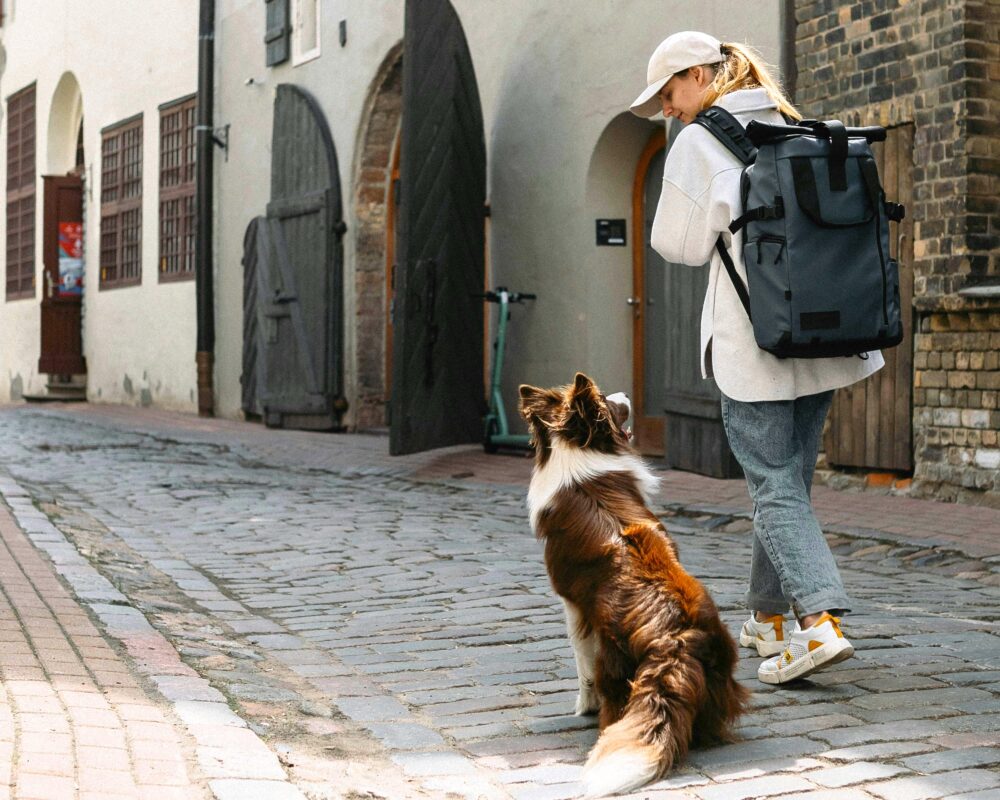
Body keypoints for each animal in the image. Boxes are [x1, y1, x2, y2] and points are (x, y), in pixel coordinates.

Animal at [520, 374, 748, 792]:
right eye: (608, 400)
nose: (626, 392)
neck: (577, 453)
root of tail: (675, 638)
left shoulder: (573, 607)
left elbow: (581, 665)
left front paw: (583, 708)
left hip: (615, 662)